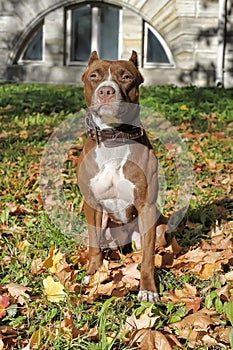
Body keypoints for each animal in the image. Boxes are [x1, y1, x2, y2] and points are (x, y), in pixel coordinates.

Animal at [78, 50, 167, 302]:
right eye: (94, 76)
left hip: (159, 227)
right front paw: (93, 274)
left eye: (126, 76)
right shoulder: (92, 204)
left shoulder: (146, 207)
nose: (106, 91)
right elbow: (94, 245)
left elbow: (148, 257)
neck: (113, 137)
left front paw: (148, 288)